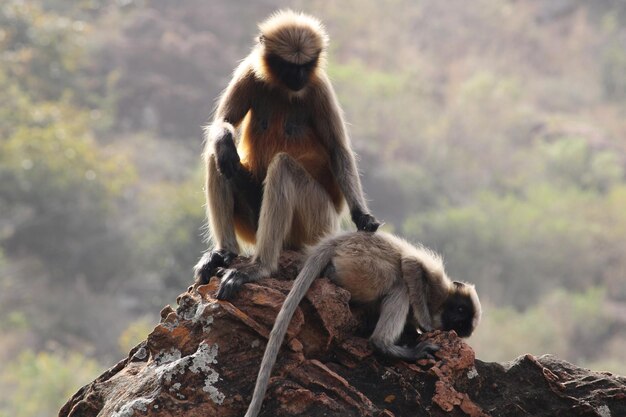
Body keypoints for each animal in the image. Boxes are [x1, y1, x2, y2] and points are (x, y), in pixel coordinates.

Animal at [193, 10, 378, 300]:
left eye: (306, 64)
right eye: (289, 66)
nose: (299, 77)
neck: (283, 89)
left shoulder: (319, 87)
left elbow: (338, 150)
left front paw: (362, 215)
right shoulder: (249, 71)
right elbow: (223, 123)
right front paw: (224, 140)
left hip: (316, 222)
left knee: (282, 168)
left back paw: (260, 267)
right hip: (254, 223)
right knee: (220, 156)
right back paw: (225, 252)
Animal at [241, 231, 480, 416]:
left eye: (461, 324)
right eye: (460, 310)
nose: (456, 321)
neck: (439, 304)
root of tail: (339, 240)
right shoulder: (436, 283)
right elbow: (410, 265)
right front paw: (426, 324)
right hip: (363, 265)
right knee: (400, 284)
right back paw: (384, 344)